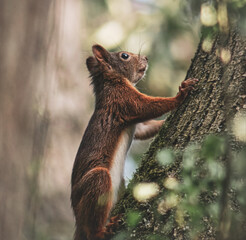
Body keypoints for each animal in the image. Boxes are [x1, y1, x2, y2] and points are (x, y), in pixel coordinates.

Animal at [71, 44, 198, 239]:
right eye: (124, 56)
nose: (146, 57)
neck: (111, 81)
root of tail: (77, 219)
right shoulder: (122, 99)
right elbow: (147, 106)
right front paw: (181, 94)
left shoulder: (136, 124)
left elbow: (144, 129)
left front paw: (163, 123)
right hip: (96, 182)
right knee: (92, 227)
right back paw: (105, 230)